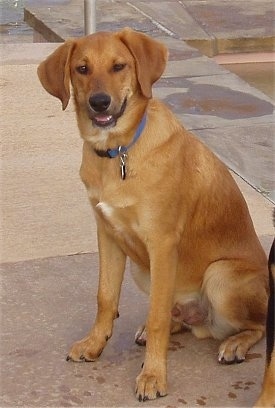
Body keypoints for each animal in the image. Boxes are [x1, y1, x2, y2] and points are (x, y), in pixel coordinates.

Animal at [37, 29, 268, 402]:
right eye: (82, 69)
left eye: (119, 66)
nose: (99, 102)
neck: (118, 152)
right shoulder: (108, 235)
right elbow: (105, 298)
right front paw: (94, 344)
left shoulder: (161, 243)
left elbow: (158, 314)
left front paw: (153, 376)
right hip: (142, 269)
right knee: (181, 317)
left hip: (219, 276)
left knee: (256, 324)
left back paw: (234, 344)